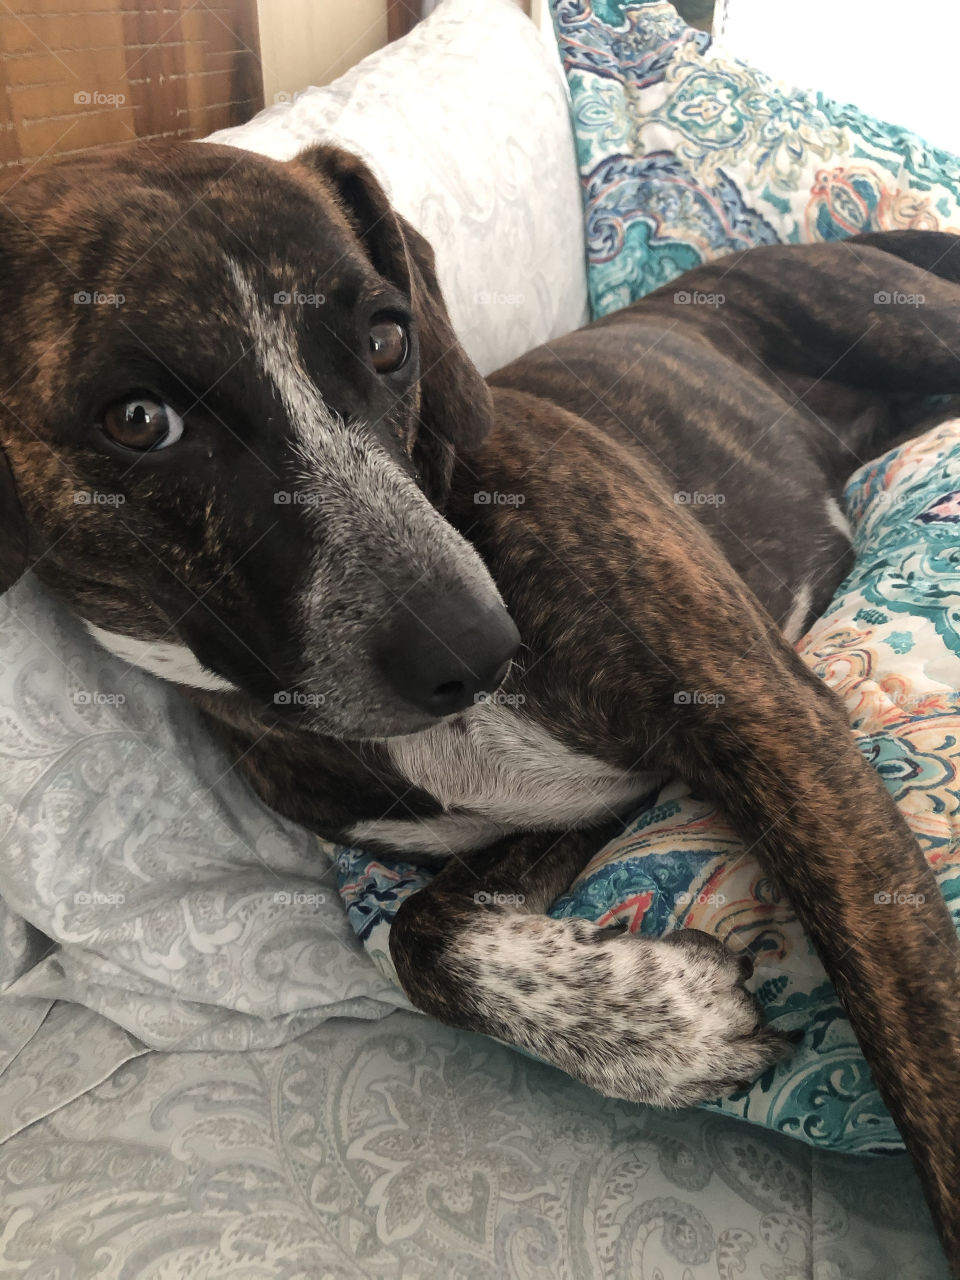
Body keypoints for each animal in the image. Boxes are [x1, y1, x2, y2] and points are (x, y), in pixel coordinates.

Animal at [0, 142, 957, 1269]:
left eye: (386, 338)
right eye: (140, 419)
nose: (474, 647)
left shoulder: (773, 722)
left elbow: (920, 1023)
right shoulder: (570, 808)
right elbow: (421, 938)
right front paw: (656, 1027)